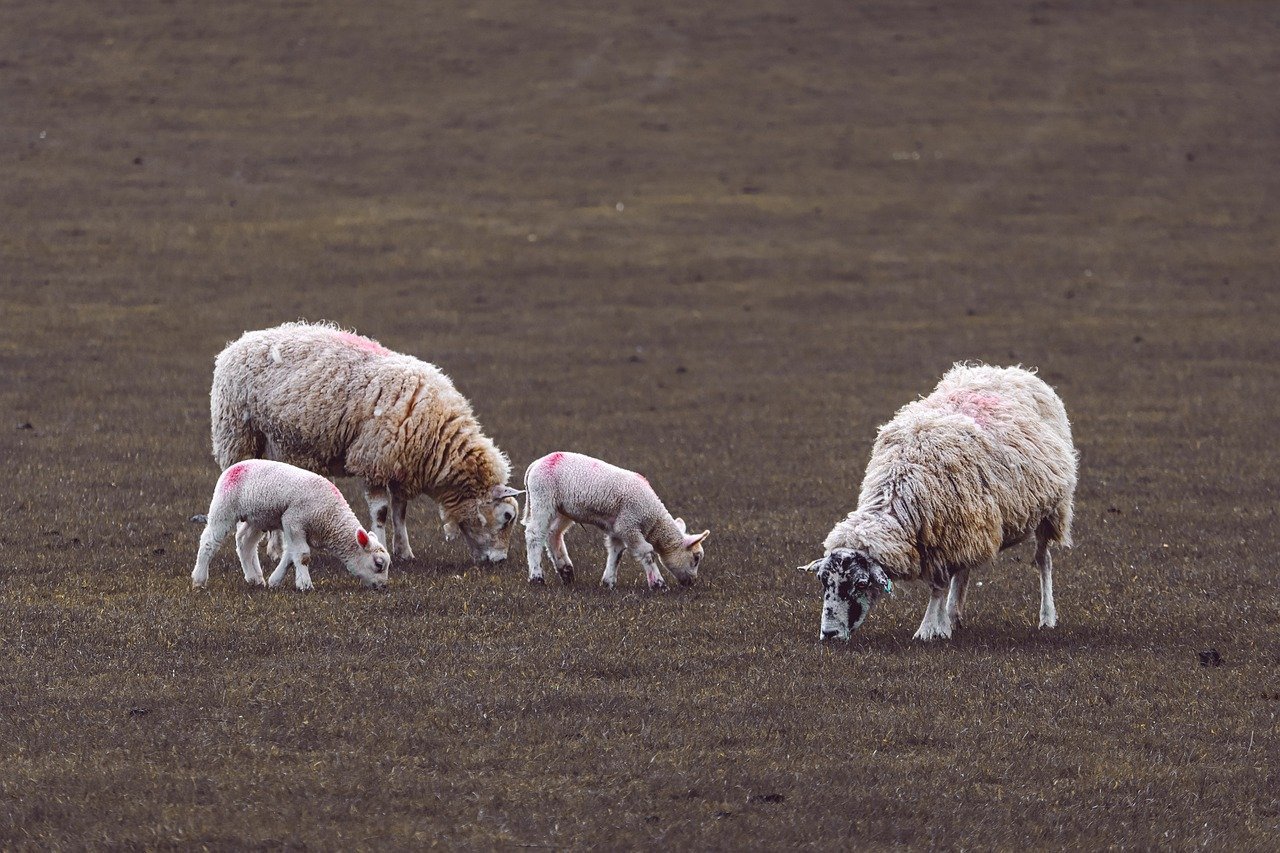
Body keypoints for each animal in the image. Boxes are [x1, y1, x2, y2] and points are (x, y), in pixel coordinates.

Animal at [190, 458, 389, 591]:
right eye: (379, 564)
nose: (383, 587)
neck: (330, 518)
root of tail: (234, 467)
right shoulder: (293, 520)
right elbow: (302, 556)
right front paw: (305, 585)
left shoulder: (300, 529)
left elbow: (290, 555)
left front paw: (275, 581)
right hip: (224, 507)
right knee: (209, 541)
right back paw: (199, 579)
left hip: (257, 518)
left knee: (245, 542)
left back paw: (255, 579)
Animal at [212, 322, 522, 568]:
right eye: (507, 516)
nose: (500, 561)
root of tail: (237, 343)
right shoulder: (374, 460)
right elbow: (381, 512)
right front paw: (384, 547)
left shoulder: (399, 465)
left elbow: (399, 511)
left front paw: (405, 552)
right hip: (238, 436)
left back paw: (276, 550)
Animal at [524, 448, 716, 589]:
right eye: (696, 558)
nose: (691, 582)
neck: (653, 518)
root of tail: (536, 463)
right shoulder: (628, 525)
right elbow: (647, 552)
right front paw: (658, 584)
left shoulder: (617, 528)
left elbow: (616, 553)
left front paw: (608, 582)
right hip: (543, 498)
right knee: (534, 535)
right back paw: (537, 577)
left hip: (563, 509)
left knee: (553, 535)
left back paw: (566, 572)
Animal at [798, 361, 1080, 640]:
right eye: (823, 581)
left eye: (860, 583)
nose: (829, 633)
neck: (900, 481)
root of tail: (1010, 370)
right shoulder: (948, 535)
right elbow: (944, 581)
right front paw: (941, 624)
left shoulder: (945, 537)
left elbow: (937, 586)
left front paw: (929, 629)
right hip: (972, 524)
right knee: (964, 570)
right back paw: (954, 614)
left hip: (1051, 510)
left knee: (1043, 561)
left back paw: (1047, 617)